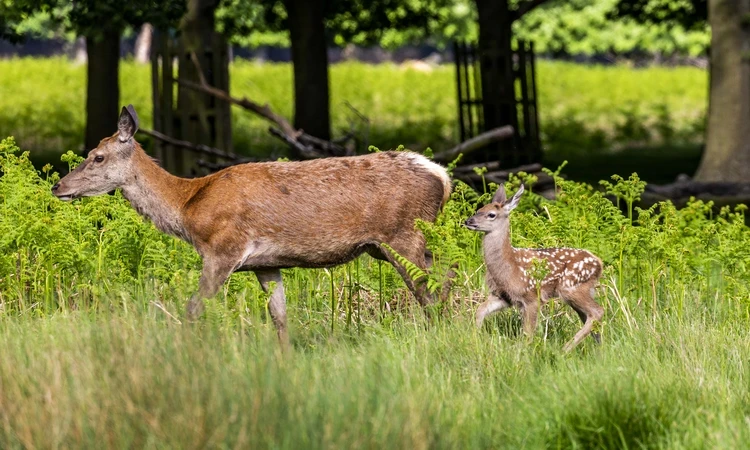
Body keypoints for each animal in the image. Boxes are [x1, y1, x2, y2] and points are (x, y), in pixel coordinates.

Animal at [51, 105, 453, 345]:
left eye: (97, 156)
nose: (58, 186)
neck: (188, 206)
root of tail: (443, 177)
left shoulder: (223, 249)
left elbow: (193, 307)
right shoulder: (266, 264)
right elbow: (279, 316)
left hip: (403, 233)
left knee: (431, 287)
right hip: (390, 244)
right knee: (443, 275)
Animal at [464, 184, 604, 352]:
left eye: (491, 215)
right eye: (479, 209)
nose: (468, 221)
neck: (509, 265)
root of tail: (598, 263)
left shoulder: (532, 296)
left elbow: (528, 332)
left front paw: (523, 353)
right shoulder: (504, 296)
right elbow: (480, 310)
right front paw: (475, 339)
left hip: (571, 287)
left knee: (597, 311)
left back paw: (566, 349)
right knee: (589, 316)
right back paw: (599, 350)